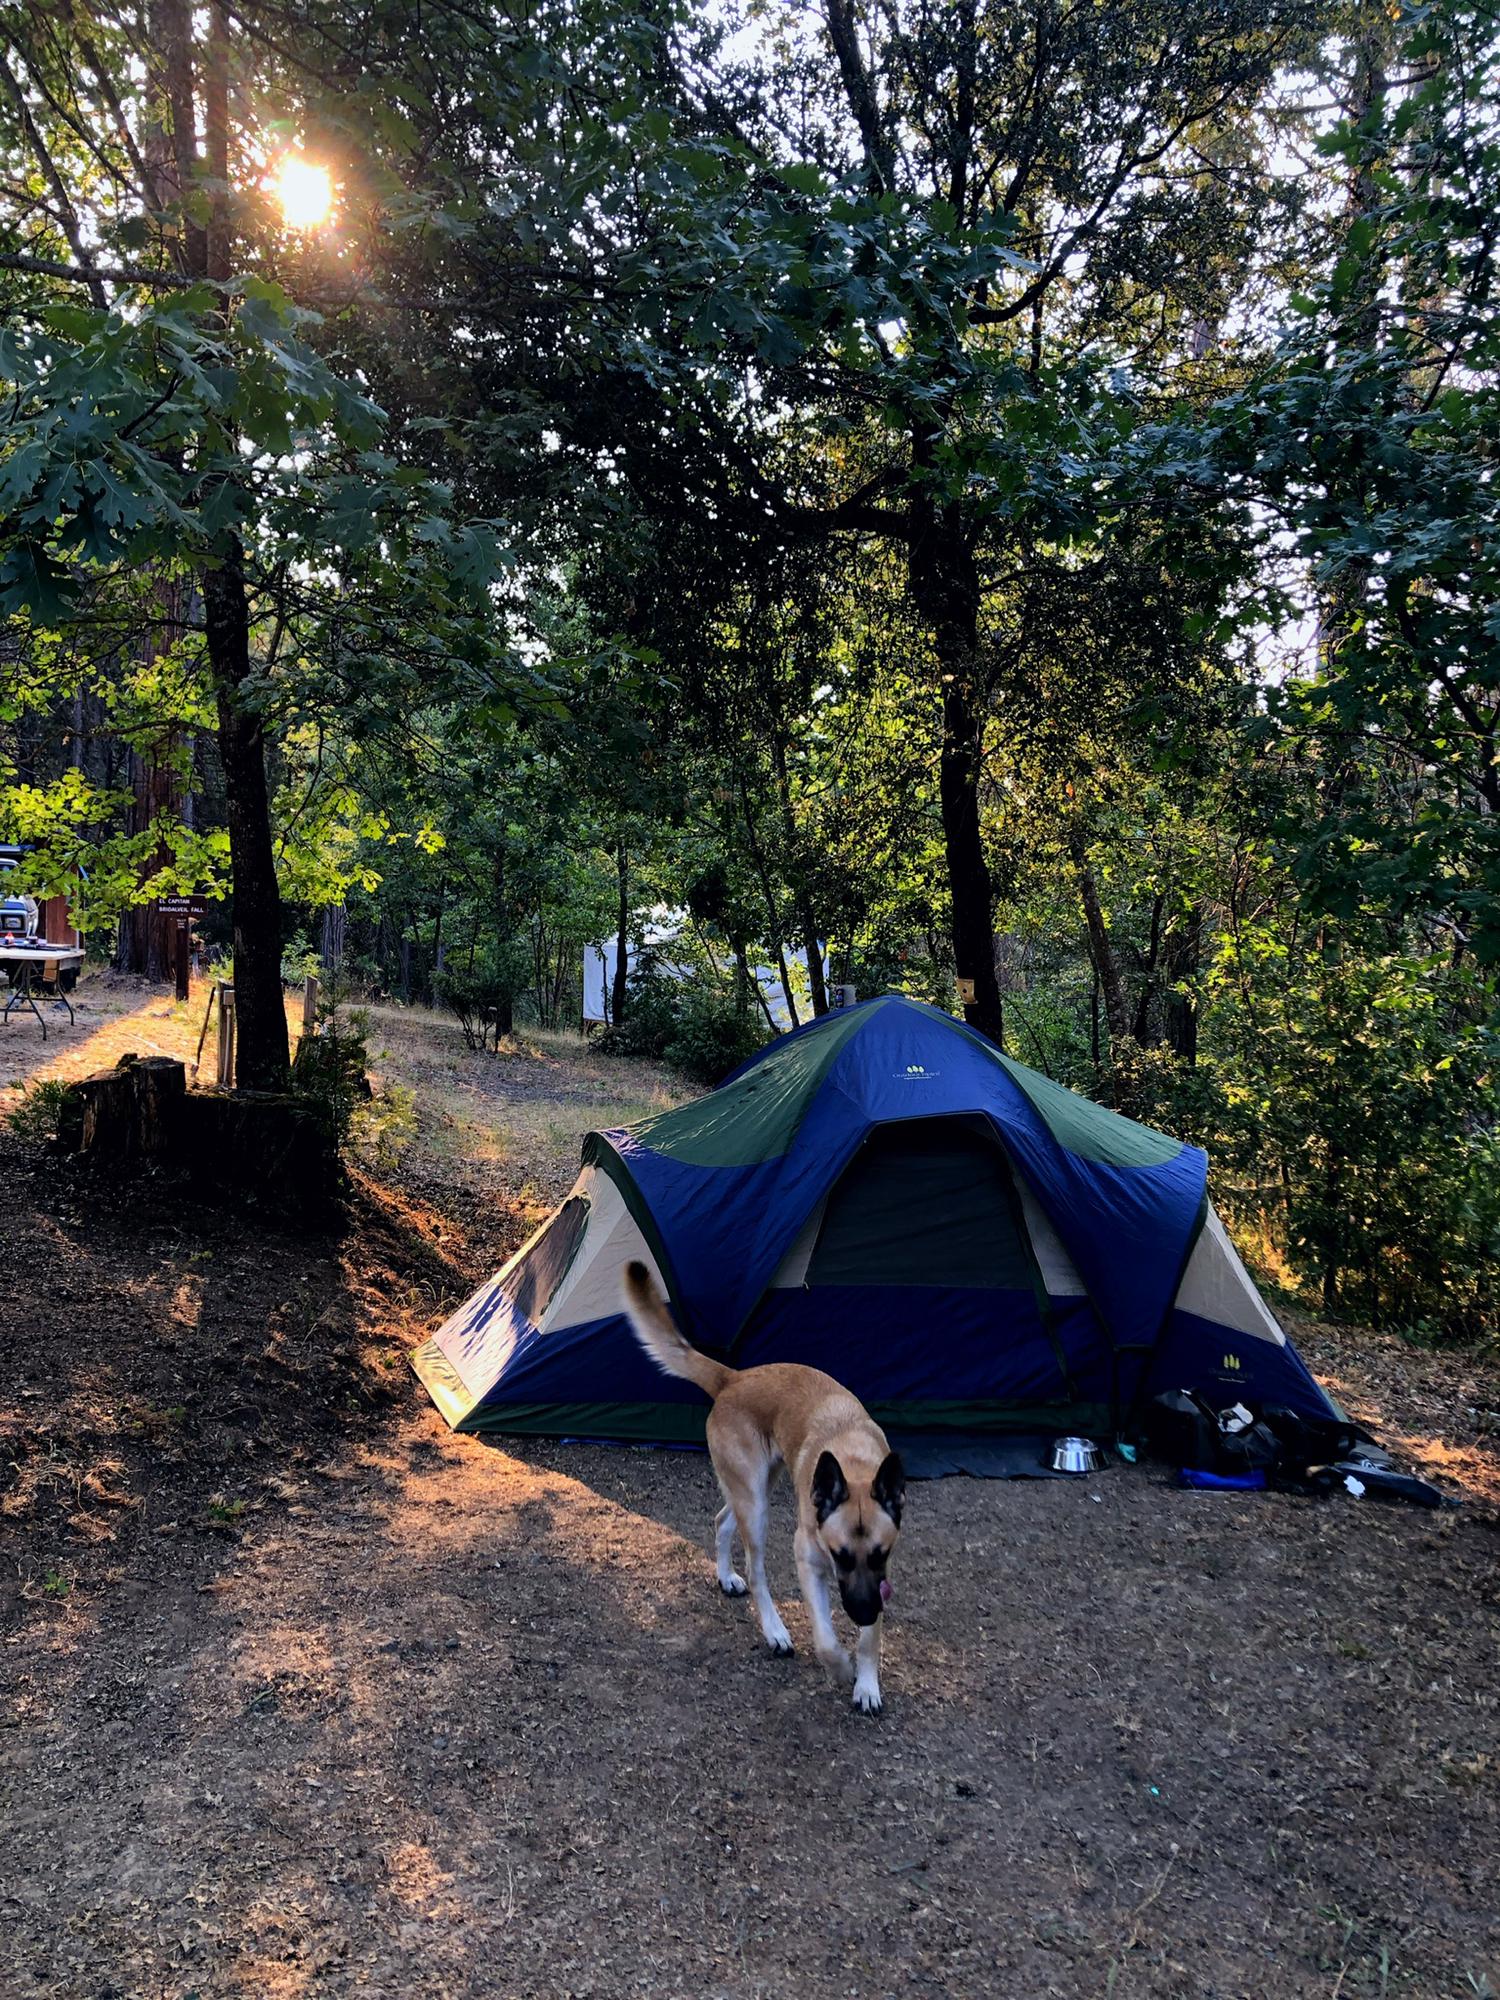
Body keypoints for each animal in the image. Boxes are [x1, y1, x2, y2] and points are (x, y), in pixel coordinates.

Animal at [624, 1256, 904, 1712]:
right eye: (840, 1556)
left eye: (880, 1554)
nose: (862, 1612)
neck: (851, 1459)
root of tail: (733, 1378)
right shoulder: (808, 1557)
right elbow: (825, 1639)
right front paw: (840, 1668)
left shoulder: (880, 1575)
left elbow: (869, 1641)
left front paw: (866, 1685)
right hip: (755, 1504)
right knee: (757, 1572)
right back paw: (774, 1631)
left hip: (752, 1488)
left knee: (721, 1521)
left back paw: (726, 1577)